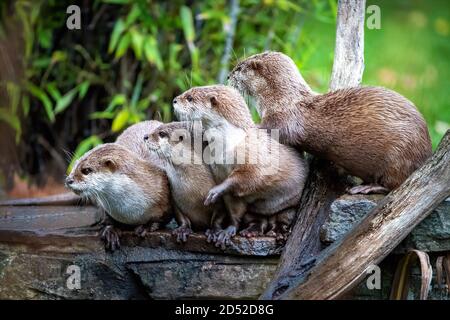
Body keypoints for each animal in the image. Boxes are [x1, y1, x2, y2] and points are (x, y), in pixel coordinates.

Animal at [173, 84, 310, 245]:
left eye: (189, 98)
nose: (174, 100)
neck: (228, 145)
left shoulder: (254, 156)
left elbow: (250, 177)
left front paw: (216, 193)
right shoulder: (220, 172)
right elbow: (234, 208)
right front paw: (226, 230)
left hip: (290, 205)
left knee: (283, 218)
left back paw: (278, 232)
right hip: (254, 212)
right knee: (258, 220)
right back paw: (251, 231)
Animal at [229, 51, 432, 194]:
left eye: (239, 68)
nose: (228, 76)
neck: (282, 101)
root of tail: (427, 150)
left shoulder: (284, 119)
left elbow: (270, 130)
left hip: (399, 154)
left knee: (395, 184)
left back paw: (366, 187)